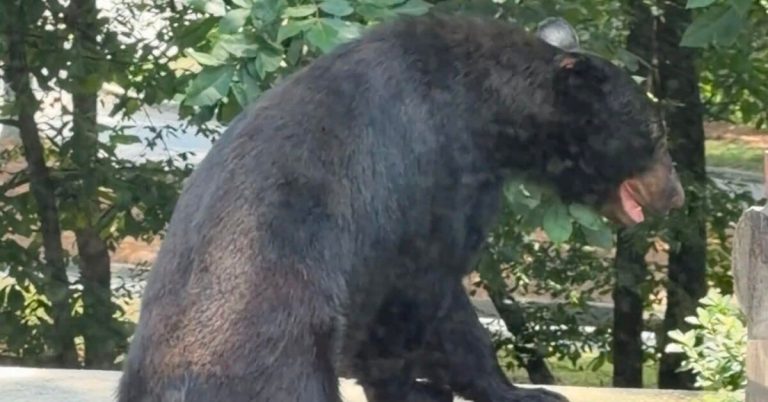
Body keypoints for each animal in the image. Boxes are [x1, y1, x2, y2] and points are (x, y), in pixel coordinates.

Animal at [117, 13, 684, 402]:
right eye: (655, 134)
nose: (676, 193)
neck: (489, 108)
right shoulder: (439, 173)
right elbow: (429, 290)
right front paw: (476, 387)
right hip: (283, 342)